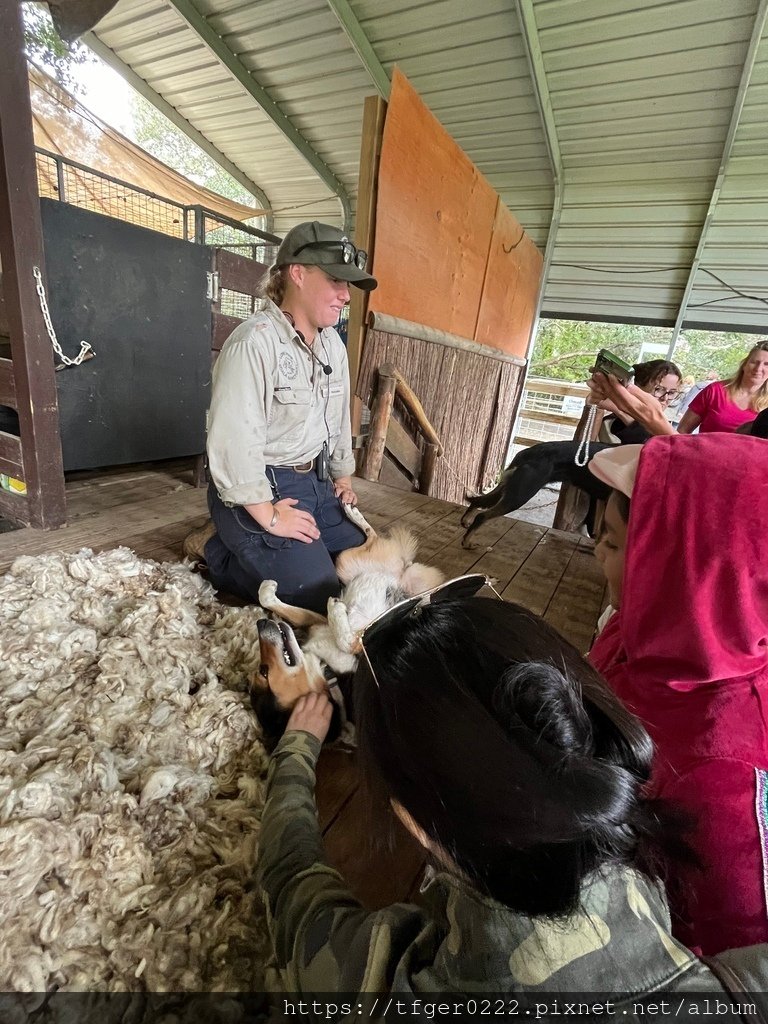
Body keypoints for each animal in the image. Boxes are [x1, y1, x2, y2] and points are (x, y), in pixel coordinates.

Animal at [252, 503, 444, 745]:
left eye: (264, 673)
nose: (260, 623)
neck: (328, 669)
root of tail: (401, 571)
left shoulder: (334, 628)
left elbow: (341, 637)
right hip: (349, 562)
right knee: (372, 539)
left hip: (351, 563)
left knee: (372, 536)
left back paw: (352, 511)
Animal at [460, 442, 618, 548]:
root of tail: (527, 452)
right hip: (520, 495)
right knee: (482, 516)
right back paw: (467, 542)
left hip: (511, 489)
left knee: (478, 501)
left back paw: (466, 522)